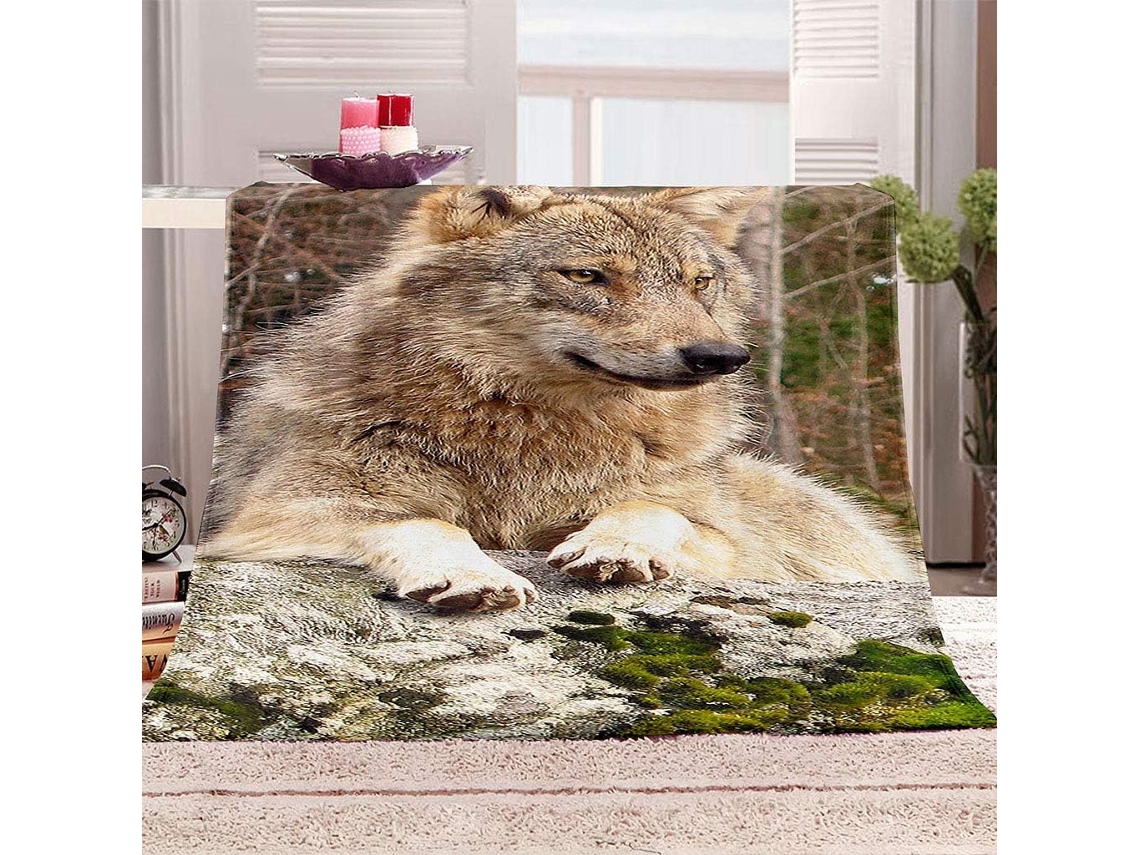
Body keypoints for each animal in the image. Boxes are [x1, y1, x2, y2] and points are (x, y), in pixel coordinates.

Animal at [200, 185, 924, 611]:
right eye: (588, 275)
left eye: (698, 283)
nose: (720, 357)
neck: (537, 429)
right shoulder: (269, 516)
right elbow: (426, 522)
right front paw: (474, 574)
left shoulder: (734, 545)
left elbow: (655, 510)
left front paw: (618, 544)